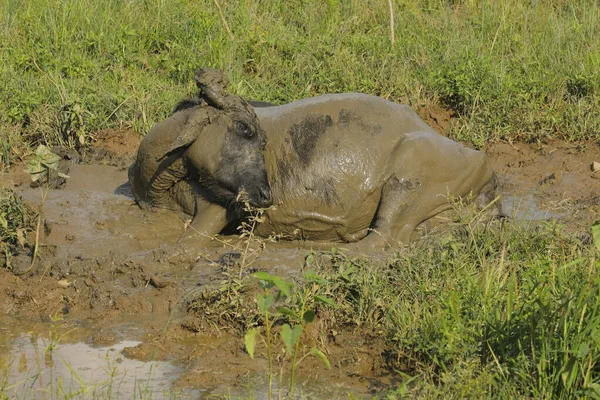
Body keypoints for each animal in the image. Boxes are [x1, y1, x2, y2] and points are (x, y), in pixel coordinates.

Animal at [129, 70, 494, 248]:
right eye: (245, 128)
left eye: (262, 138)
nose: (266, 196)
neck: (159, 180)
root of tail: (482, 163)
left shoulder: (216, 210)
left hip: (409, 172)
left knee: (380, 242)